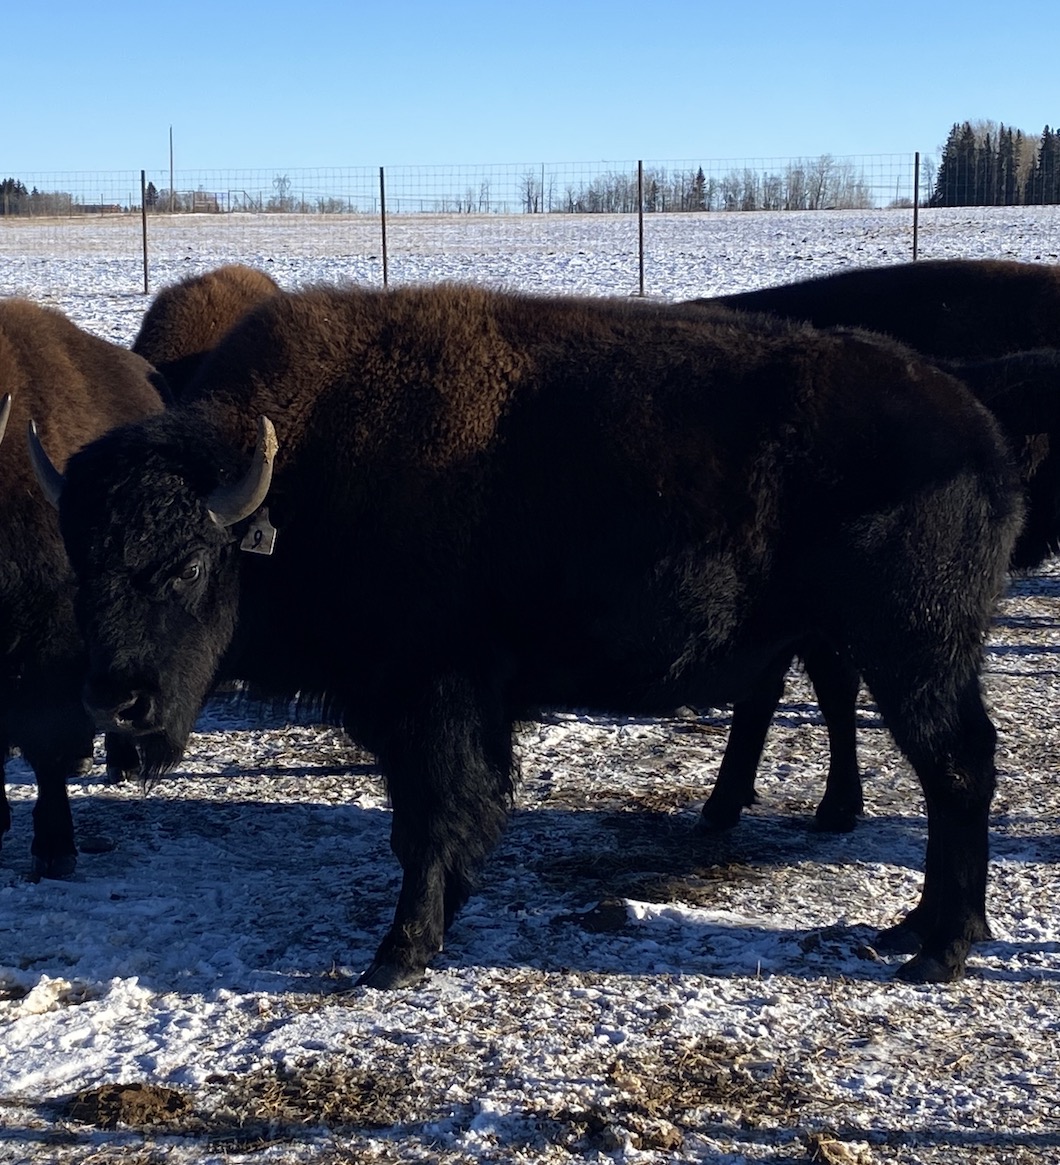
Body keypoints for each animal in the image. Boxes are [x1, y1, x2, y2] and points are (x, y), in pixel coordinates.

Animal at [33, 284, 1022, 986]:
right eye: (82, 560)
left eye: (186, 567)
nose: (117, 701)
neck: (295, 482)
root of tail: (977, 429)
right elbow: (445, 817)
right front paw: (436, 925)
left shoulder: (430, 699)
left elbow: (430, 820)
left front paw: (396, 955)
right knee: (935, 767)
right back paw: (913, 927)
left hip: (915, 652)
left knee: (958, 768)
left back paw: (939, 949)